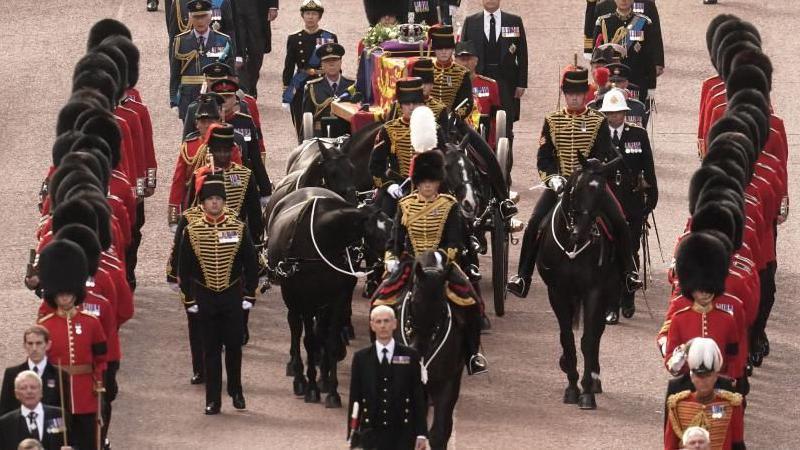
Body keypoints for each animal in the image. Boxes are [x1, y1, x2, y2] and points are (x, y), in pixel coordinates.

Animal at [268, 187, 390, 408]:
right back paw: (298, 375)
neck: (323, 241)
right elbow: (308, 340)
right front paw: (311, 387)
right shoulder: (306, 298)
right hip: (291, 296)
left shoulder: (336, 298)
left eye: (392, 225)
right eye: (374, 234)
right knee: (295, 327)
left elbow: (329, 341)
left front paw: (331, 390)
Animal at [536, 156, 620, 410]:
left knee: (598, 332)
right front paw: (572, 386)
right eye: (578, 188)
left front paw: (586, 391)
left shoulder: (594, 291)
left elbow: (588, 340)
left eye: (603, 192)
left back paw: (595, 378)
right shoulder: (557, 292)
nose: (581, 232)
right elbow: (567, 337)